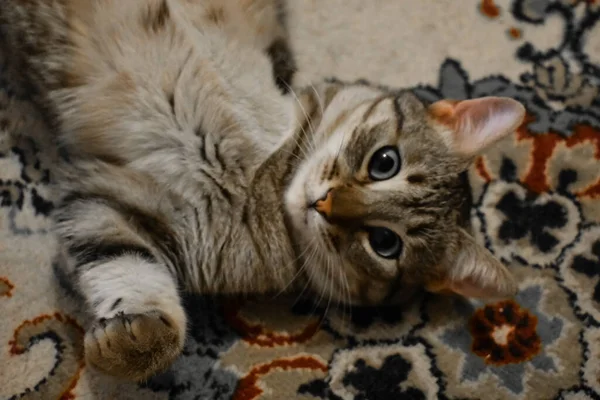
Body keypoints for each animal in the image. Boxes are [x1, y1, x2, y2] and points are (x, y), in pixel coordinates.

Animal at [0, 0, 524, 382]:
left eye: (385, 243)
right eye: (384, 162)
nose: (324, 203)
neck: (261, 182)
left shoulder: (113, 201)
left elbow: (121, 265)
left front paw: (136, 342)